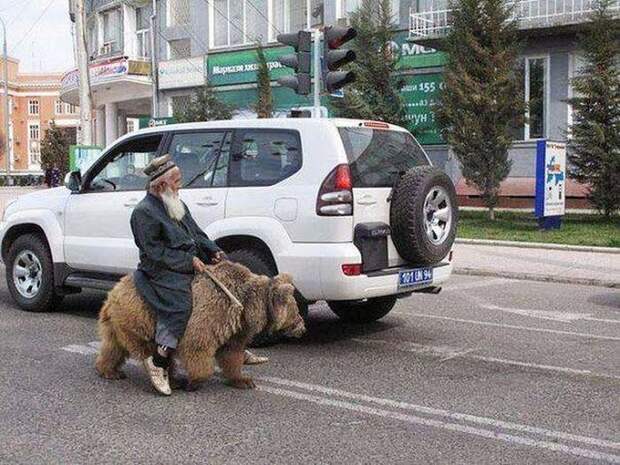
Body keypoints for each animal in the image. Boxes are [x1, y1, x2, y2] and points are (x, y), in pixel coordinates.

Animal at [94, 260, 306, 390]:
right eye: (296, 311)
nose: (303, 328)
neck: (245, 305)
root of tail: (113, 292)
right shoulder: (213, 312)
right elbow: (198, 345)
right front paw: (195, 381)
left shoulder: (236, 328)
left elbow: (232, 353)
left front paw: (244, 380)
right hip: (142, 316)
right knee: (149, 348)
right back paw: (164, 376)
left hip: (118, 321)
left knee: (113, 346)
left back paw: (110, 370)